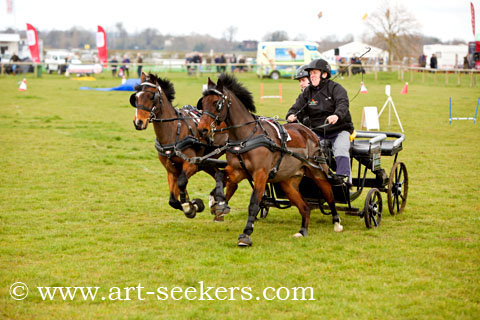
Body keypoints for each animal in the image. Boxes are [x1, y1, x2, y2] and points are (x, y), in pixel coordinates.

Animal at [131, 73, 229, 220]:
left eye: (151, 97)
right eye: (136, 97)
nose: (138, 122)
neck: (173, 132)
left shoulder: (191, 165)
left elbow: (182, 182)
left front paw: (192, 206)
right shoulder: (171, 170)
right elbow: (172, 200)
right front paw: (192, 204)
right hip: (206, 163)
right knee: (221, 175)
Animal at [197, 74, 344, 246]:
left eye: (217, 103)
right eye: (203, 103)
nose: (202, 130)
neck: (246, 136)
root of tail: (309, 131)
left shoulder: (261, 174)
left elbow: (254, 203)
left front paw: (246, 234)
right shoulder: (237, 171)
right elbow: (220, 175)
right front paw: (219, 204)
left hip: (318, 173)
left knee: (329, 194)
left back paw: (337, 223)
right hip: (288, 182)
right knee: (305, 207)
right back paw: (302, 231)